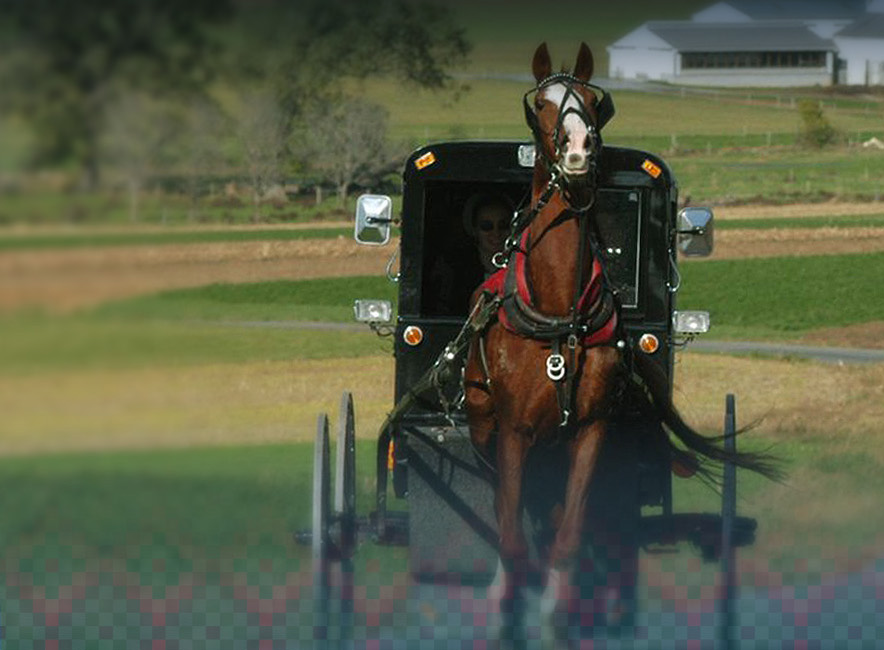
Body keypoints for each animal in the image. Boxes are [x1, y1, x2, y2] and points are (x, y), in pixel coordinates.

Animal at [462, 43, 780, 644]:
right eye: (541, 104)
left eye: (595, 103)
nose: (578, 149)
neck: (559, 315)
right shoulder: (513, 431)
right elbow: (511, 534)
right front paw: (503, 613)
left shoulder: (590, 432)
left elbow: (569, 534)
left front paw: (556, 619)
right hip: (486, 428)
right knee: (509, 511)